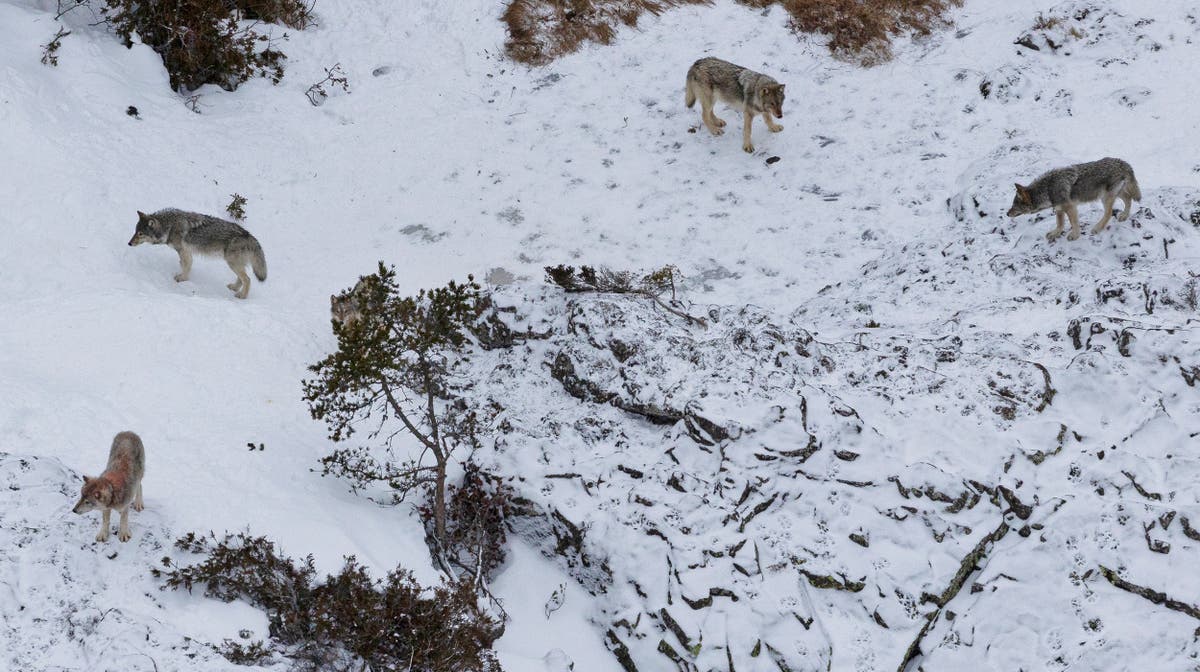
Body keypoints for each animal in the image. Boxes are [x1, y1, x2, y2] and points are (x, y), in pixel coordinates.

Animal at [127, 207, 266, 296]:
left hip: (232, 263)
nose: (129, 243)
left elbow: (186, 266)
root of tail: (249, 235)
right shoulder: (186, 252)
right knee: (242, 278)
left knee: (247, 279)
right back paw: (234, 288)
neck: (170, 226)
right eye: (135, 231)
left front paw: (182, 279)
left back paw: (241, 296)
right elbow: (184, 265)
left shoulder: (183, 251)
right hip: (233, 264)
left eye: (140, 234)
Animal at [1003, 157, 1142, 241]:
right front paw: (1055, 234)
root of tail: (1123, 162)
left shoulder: (1070, 207)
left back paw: (1097, 228)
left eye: (1015, 205)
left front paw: (1075, 236)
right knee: (1128, 199)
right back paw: (1124, 216)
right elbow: (1060, 224)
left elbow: (1073, 223)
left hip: (1105, 198)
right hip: (1115, 194)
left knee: (1108, 213)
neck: (1047, 189)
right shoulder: (1059, 209)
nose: (1007, 213)